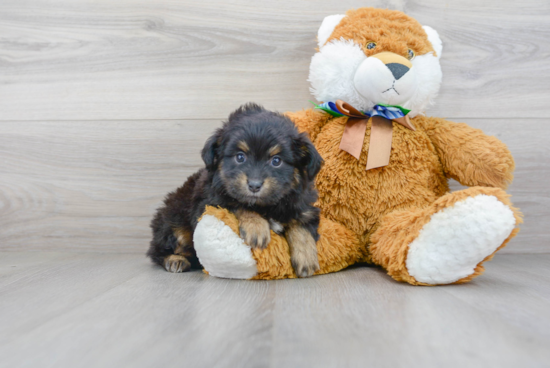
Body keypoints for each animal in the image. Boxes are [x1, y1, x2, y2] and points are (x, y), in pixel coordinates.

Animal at [149, 103, 326, 276]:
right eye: (240, 157)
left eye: (276, 161)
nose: (254, 185)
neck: (266, 206)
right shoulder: (208, 203)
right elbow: (236, 203)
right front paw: (256, 226)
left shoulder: (304, 207)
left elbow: (301, 226)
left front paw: (306, 257)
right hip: (175, 221)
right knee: (159, 250)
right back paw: (175, 260)